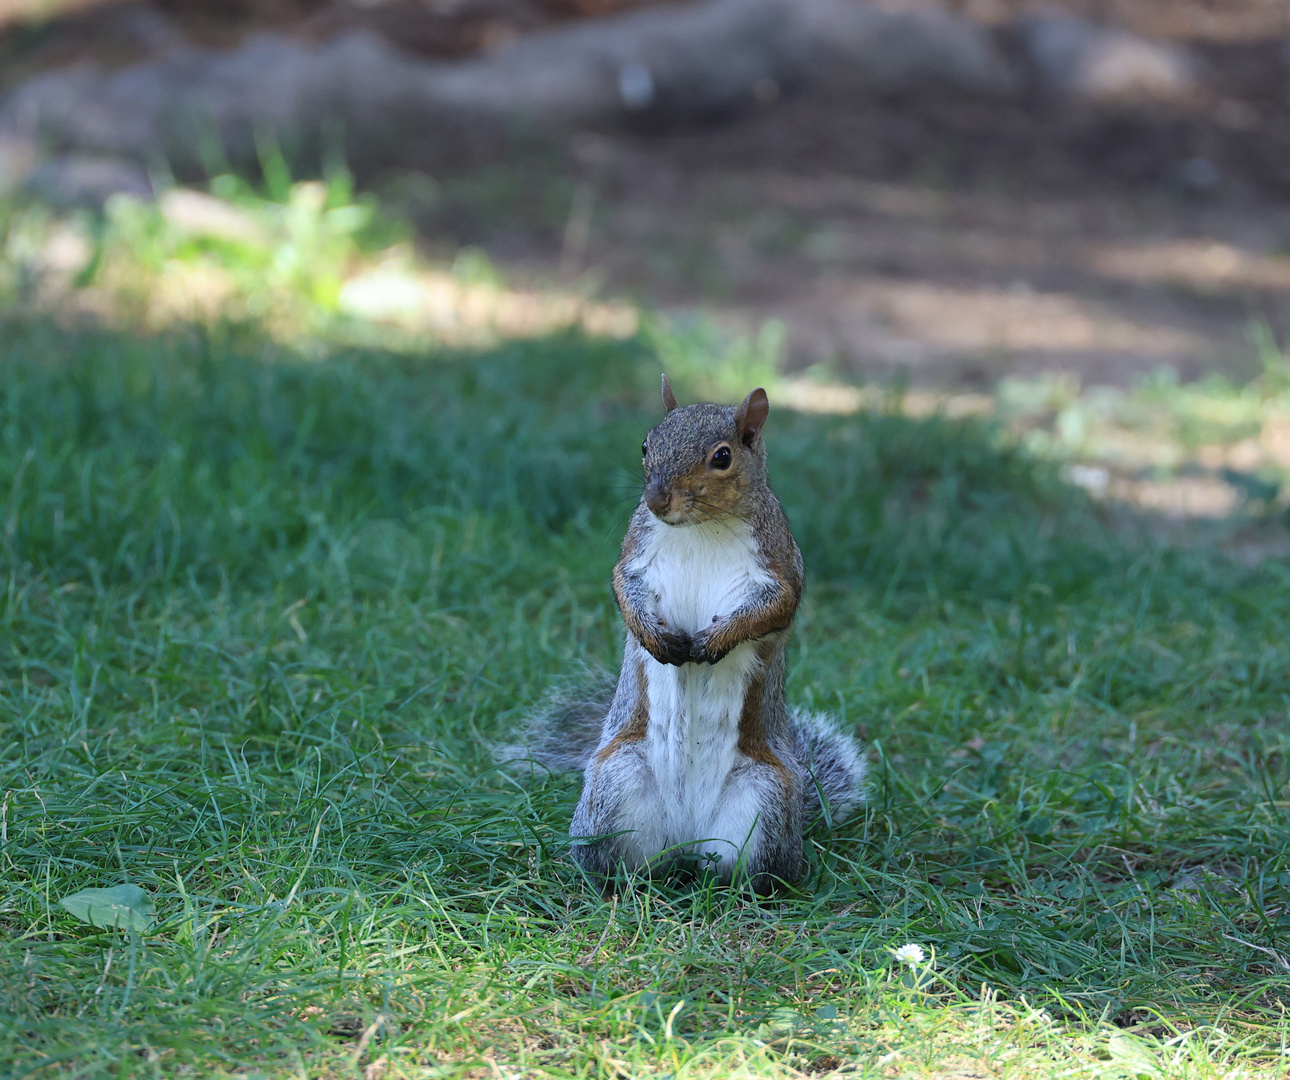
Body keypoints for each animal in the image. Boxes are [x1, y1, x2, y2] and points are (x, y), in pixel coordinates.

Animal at [508, 374, 861, 887]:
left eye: (723, 457)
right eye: (645, 444)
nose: (657, 499)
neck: (701, 527)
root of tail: (687, 836)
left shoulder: (779, 566)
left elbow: (773, 608)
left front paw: (716, 640)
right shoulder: (635, 554)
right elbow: (624, 589)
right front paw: (653, 637)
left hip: (764, 798)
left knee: (748, 871)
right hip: (615, 785)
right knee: (629, 862)